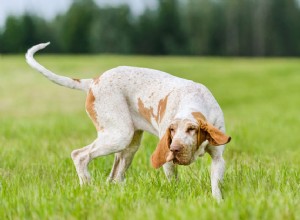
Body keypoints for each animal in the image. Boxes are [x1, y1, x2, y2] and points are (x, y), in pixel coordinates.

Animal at [26, 42, 232, 200]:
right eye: (172, 130)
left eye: (192, 129)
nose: (175, 148)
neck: (194, 100)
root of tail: (93, 81)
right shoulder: (167, 161)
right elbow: (174, 182)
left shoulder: (218, 159)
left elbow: (216, 186)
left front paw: (217, 203)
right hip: (119, 135)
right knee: (79, 155)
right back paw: (87, 185)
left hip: (129, 147)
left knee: (114, 177)